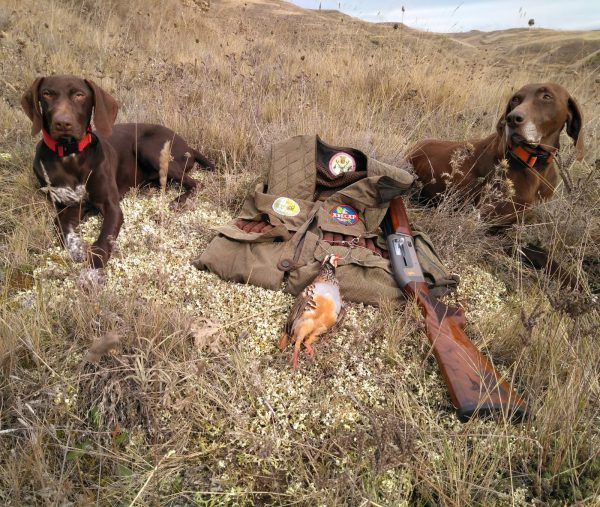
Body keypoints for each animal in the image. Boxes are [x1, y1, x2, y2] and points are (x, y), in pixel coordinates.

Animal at [21, 75, 213, 270]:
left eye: (79, 95)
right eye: (46, 94)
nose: (62, 123)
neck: (70, 155)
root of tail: (188, 146)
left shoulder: (111, 206)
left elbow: (102, 242)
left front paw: (93, 272)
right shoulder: (70, 207)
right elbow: (61, 227)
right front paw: (78, 248)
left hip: (149, 148)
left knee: (196, 183)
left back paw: (178, 201)